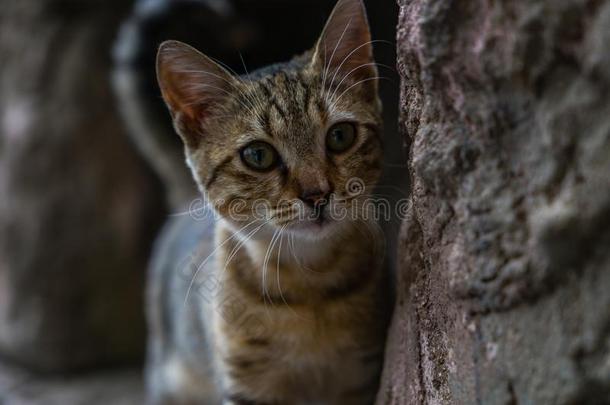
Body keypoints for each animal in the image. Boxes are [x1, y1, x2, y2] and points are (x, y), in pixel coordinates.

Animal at [146, 0, 390, 400]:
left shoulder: (360, 375)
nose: (317, 193)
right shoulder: (246, 382)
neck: (310, 288)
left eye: (340, 135)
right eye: (258, 155)